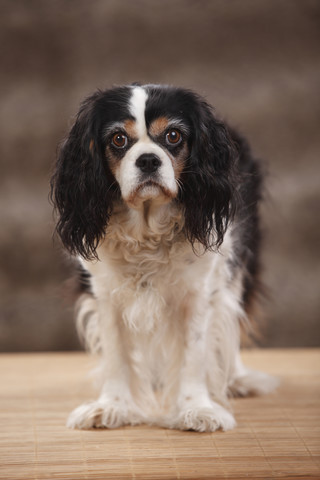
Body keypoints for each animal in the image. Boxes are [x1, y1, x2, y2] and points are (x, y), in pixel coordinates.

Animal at [51, 82, 276, 432]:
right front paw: (112, 406)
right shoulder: (105, 294)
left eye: (173, 136)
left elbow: (194, 353)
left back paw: (236, 378)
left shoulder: (199, 293)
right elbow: (116, 353)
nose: (147, 160)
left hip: (237, 267)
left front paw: (197, 408)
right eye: (118, 139)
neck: (147, 232)